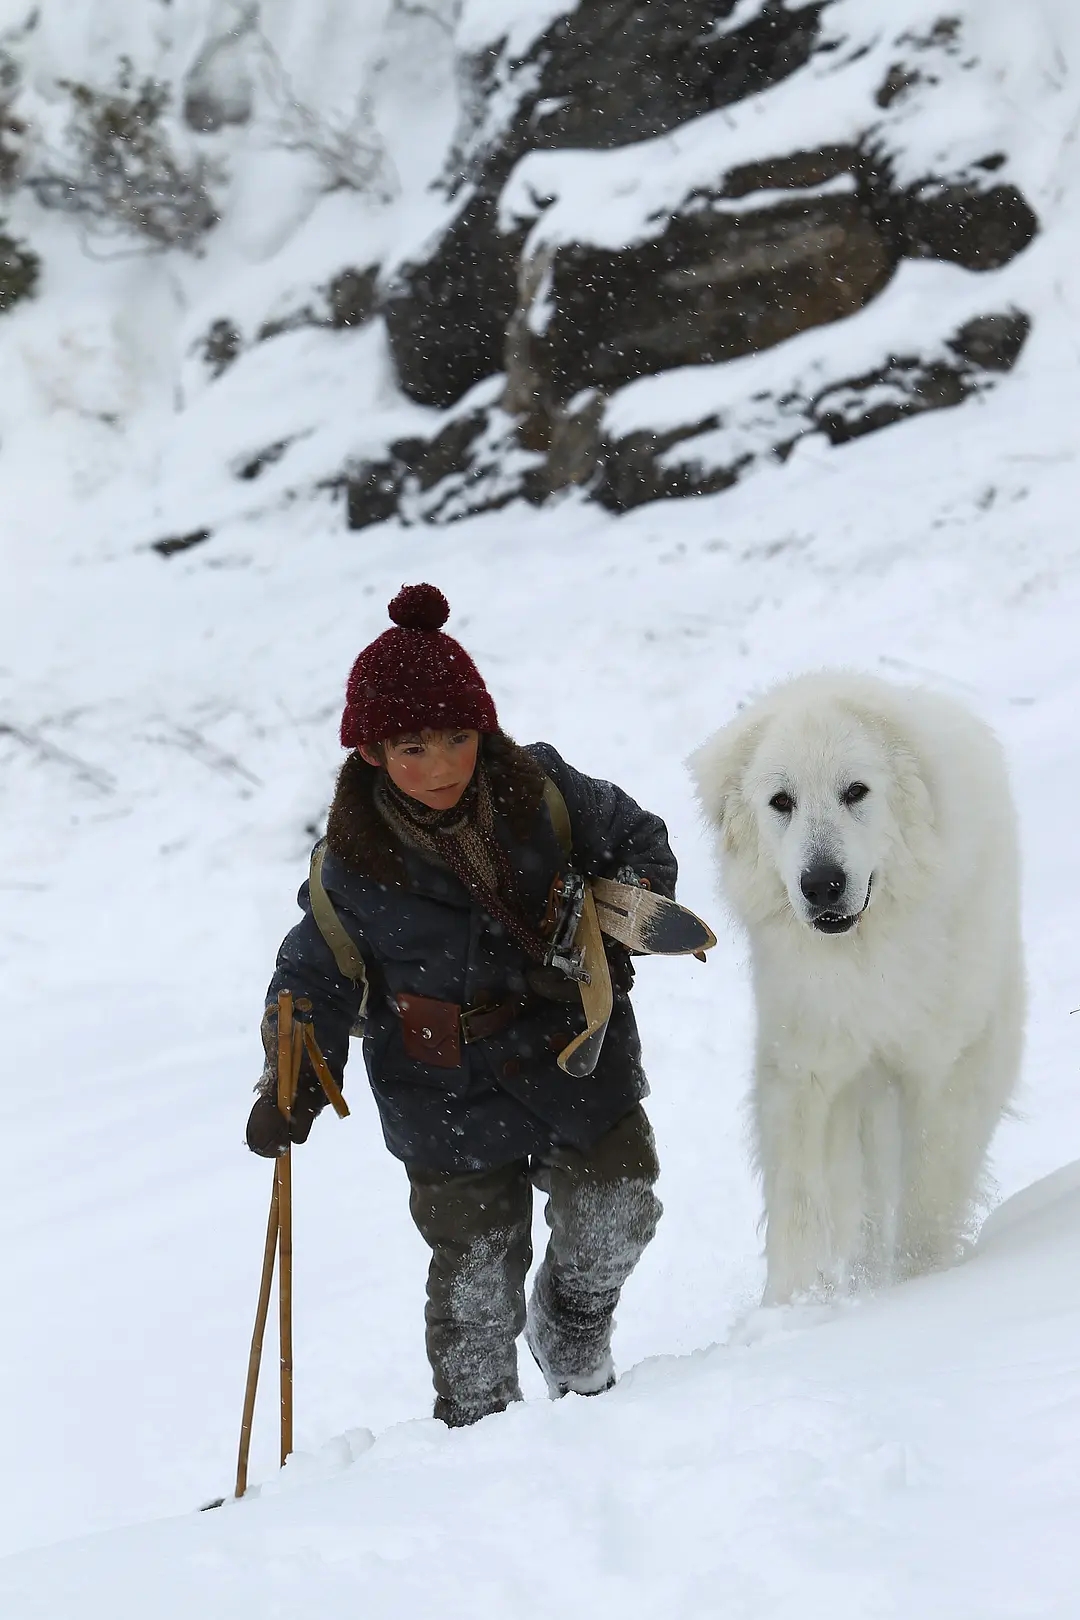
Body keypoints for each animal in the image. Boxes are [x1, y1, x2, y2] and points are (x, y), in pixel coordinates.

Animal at [689, 670, 1029, 1302]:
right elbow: (799, 1190)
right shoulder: (807, 1054)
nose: (822, 883)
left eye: (855, 791)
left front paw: (922, 1283)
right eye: (782, 801)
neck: (868, 954)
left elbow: (930, 1180)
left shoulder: (946, 1058)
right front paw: (791, 1302)